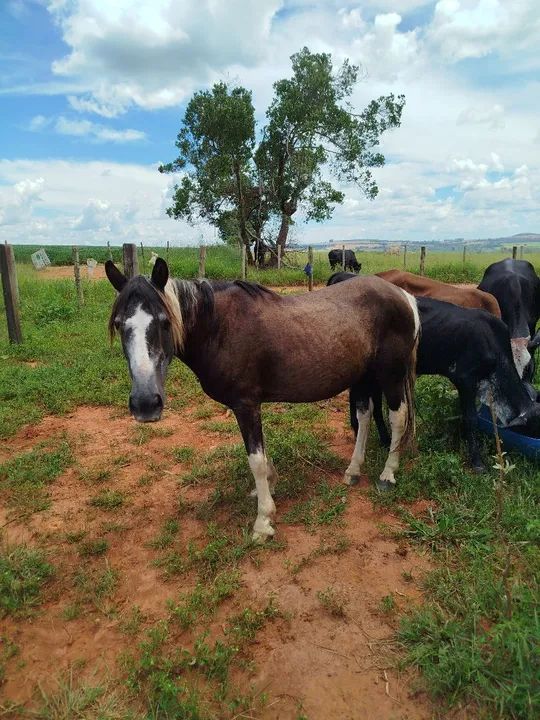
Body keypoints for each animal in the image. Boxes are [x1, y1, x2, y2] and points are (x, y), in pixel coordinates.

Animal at [105, 259, 420, 542]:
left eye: (164, 322)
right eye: (119, 324)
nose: (146, 403)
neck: (220, 327)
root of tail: (402, 295)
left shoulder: (246, 405)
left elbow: (255, 459)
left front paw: (263, 520)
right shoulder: (247, 407)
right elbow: (262, 454)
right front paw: (267, 485)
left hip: (390, 376)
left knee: (398, 418)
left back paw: (387, 475)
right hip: (364, 377)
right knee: (365, 416)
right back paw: (353, 470)